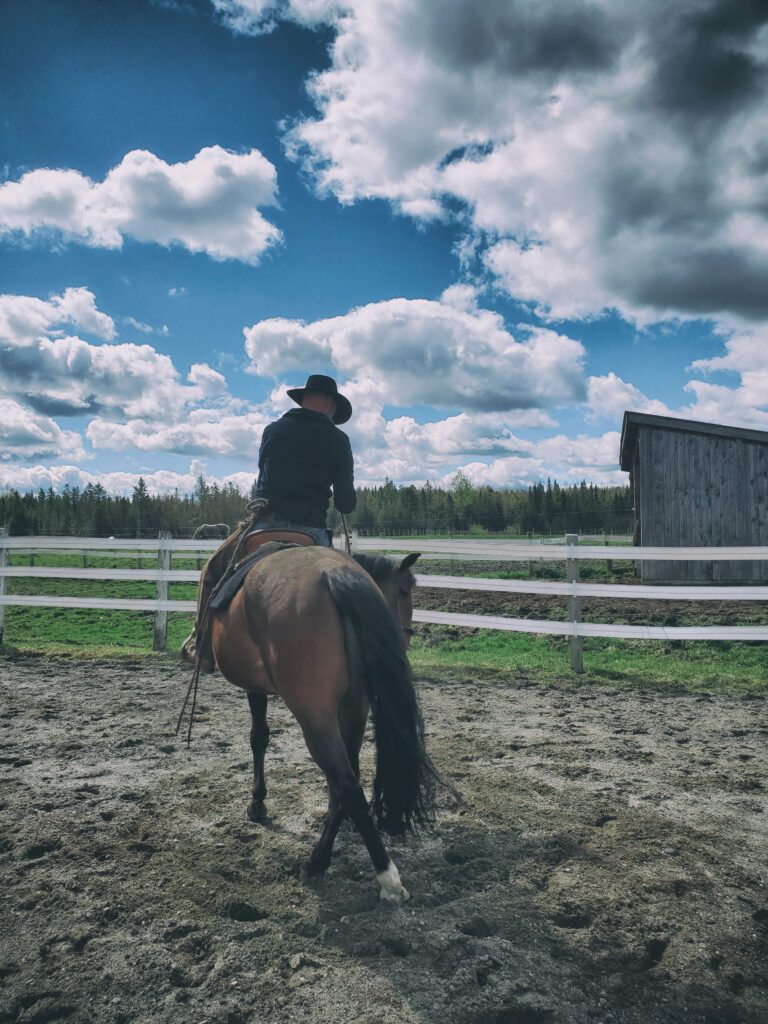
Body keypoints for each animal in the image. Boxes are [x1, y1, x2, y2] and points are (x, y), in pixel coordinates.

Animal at [208, 548, 438, 901]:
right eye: (402, 591)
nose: (405, 638)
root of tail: (333, 573)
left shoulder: (256, 688)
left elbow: (259, 738)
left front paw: (257, 803)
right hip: (353, 710)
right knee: (345, 779)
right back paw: (325, 855)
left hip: (315, 719)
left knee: (346, 783)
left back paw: (380, 875)